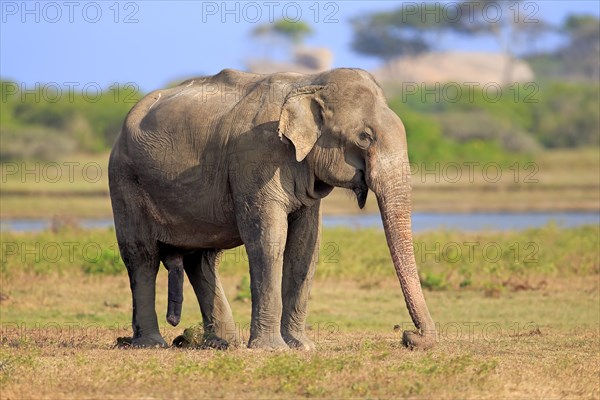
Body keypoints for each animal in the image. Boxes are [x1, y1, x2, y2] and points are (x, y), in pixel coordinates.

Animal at [108, 68, 436, 350]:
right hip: (124, 180)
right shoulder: (257, 156)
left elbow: (306, 247)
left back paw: (223, 344)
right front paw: (271, 349)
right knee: (141, 256)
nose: (409, 336)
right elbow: (268, 241)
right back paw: (152, 344)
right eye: (364, 138)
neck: (310, 83)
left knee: (201, 260)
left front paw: (301, 347)